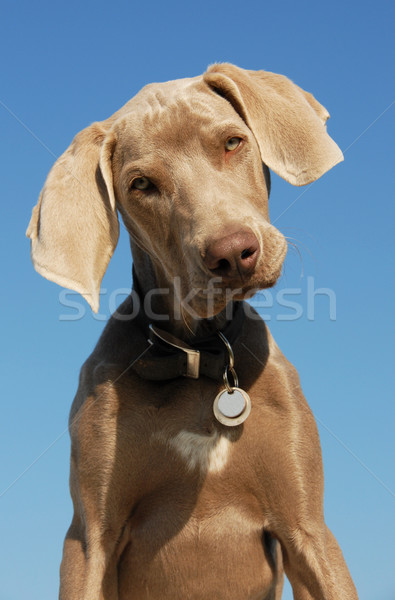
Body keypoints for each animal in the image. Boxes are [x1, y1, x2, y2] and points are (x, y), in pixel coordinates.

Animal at [26, 63, 358, 596]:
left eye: (232, 143)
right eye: (141, 184)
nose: (233, 253)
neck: (199, 356)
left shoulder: (307, 527)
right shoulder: (89, 537)